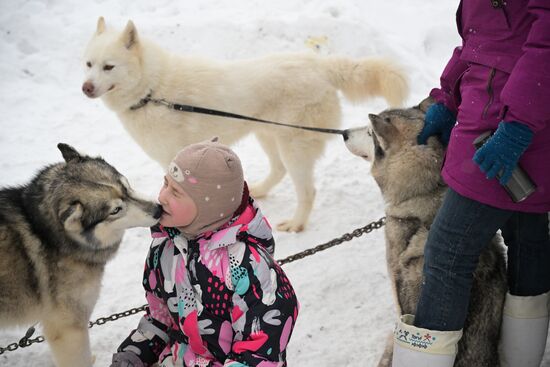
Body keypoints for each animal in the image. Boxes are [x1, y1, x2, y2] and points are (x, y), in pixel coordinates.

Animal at [83, 17, 410, 233]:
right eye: (88, 64)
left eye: (108, 67)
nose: (86, 88)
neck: (153, 90)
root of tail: (318, 64)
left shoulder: (172, 158)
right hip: (267, 134)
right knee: (278, 171)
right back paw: (260, 190)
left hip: (293, 145)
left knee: (307, 190)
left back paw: (296, 223)